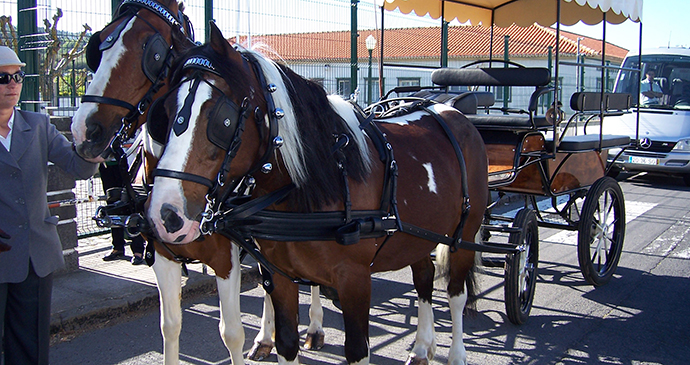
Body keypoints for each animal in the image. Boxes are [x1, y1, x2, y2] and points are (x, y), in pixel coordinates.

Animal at [70, 1, 328, 362]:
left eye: (151, 51)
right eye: (98, 45)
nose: (84, 130)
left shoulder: (225, 260)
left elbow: (231, 333)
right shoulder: (163, 256)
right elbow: (169, 327)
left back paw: (315, 327)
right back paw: (266, 337)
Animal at [148, 22, 486, 364]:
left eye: (223, 119)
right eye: (163, 113)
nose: (165, 215)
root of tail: (451, 111)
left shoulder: (355, 281)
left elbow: (357, 350)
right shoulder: (279, 275)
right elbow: (286, 343)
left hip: (463, 234)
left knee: (456, 294)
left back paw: (456, 353)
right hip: (417, 236)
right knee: (424, 278)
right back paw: (421, 347)